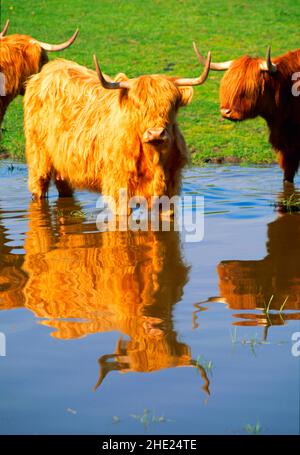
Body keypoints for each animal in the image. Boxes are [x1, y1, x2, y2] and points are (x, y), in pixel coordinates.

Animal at [23, 49, 211, 206]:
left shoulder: (170, 190)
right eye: (137, 105)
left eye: (172, 105)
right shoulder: (119, 188)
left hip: (64, 164)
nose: (156, 133)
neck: (154, 159)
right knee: (38, 186)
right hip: (38, 155)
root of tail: (49, 69)